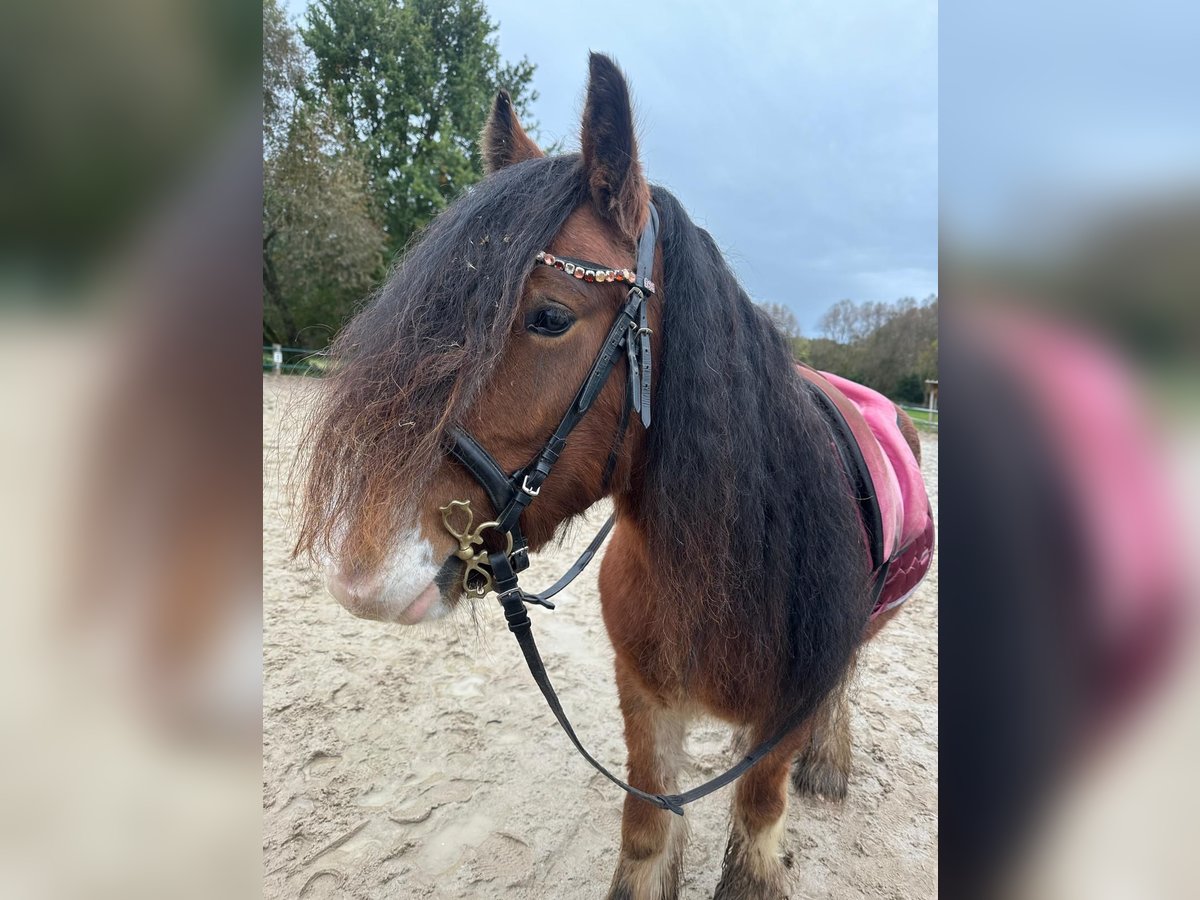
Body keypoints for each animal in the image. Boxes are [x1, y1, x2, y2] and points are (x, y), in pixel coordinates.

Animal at [297, 54, 916, 900]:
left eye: (552, 317)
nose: (361, 572)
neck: (725, 570)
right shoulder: (645, 701)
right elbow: (649, 828)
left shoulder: (783, 720)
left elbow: (759, 816)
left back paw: (829, 759)